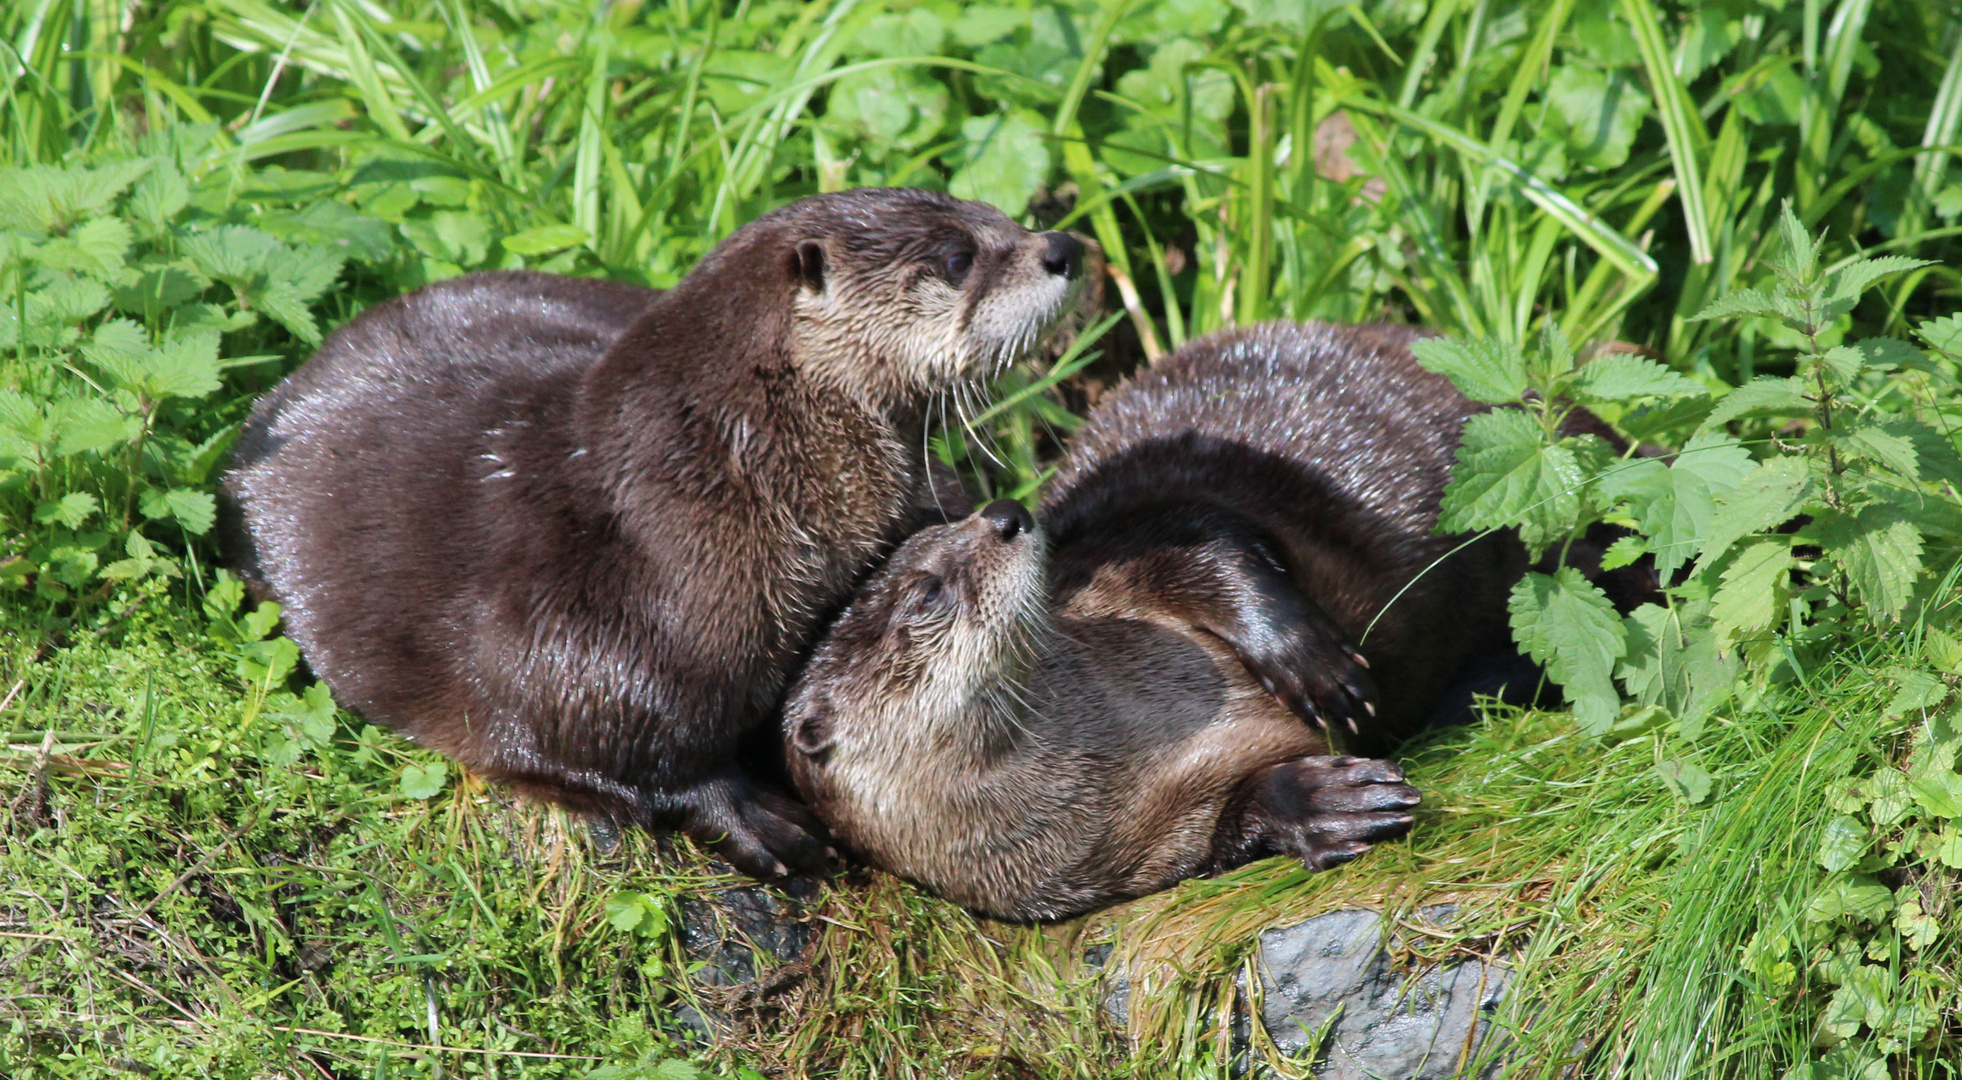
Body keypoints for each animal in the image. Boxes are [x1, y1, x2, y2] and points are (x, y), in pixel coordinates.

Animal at [229, 188, 1098, 879]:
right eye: (957, 256)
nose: (1063, 246)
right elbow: (596, 711)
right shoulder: (599, 598)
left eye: (1000, 215)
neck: (721, 481)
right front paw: (747, 811)